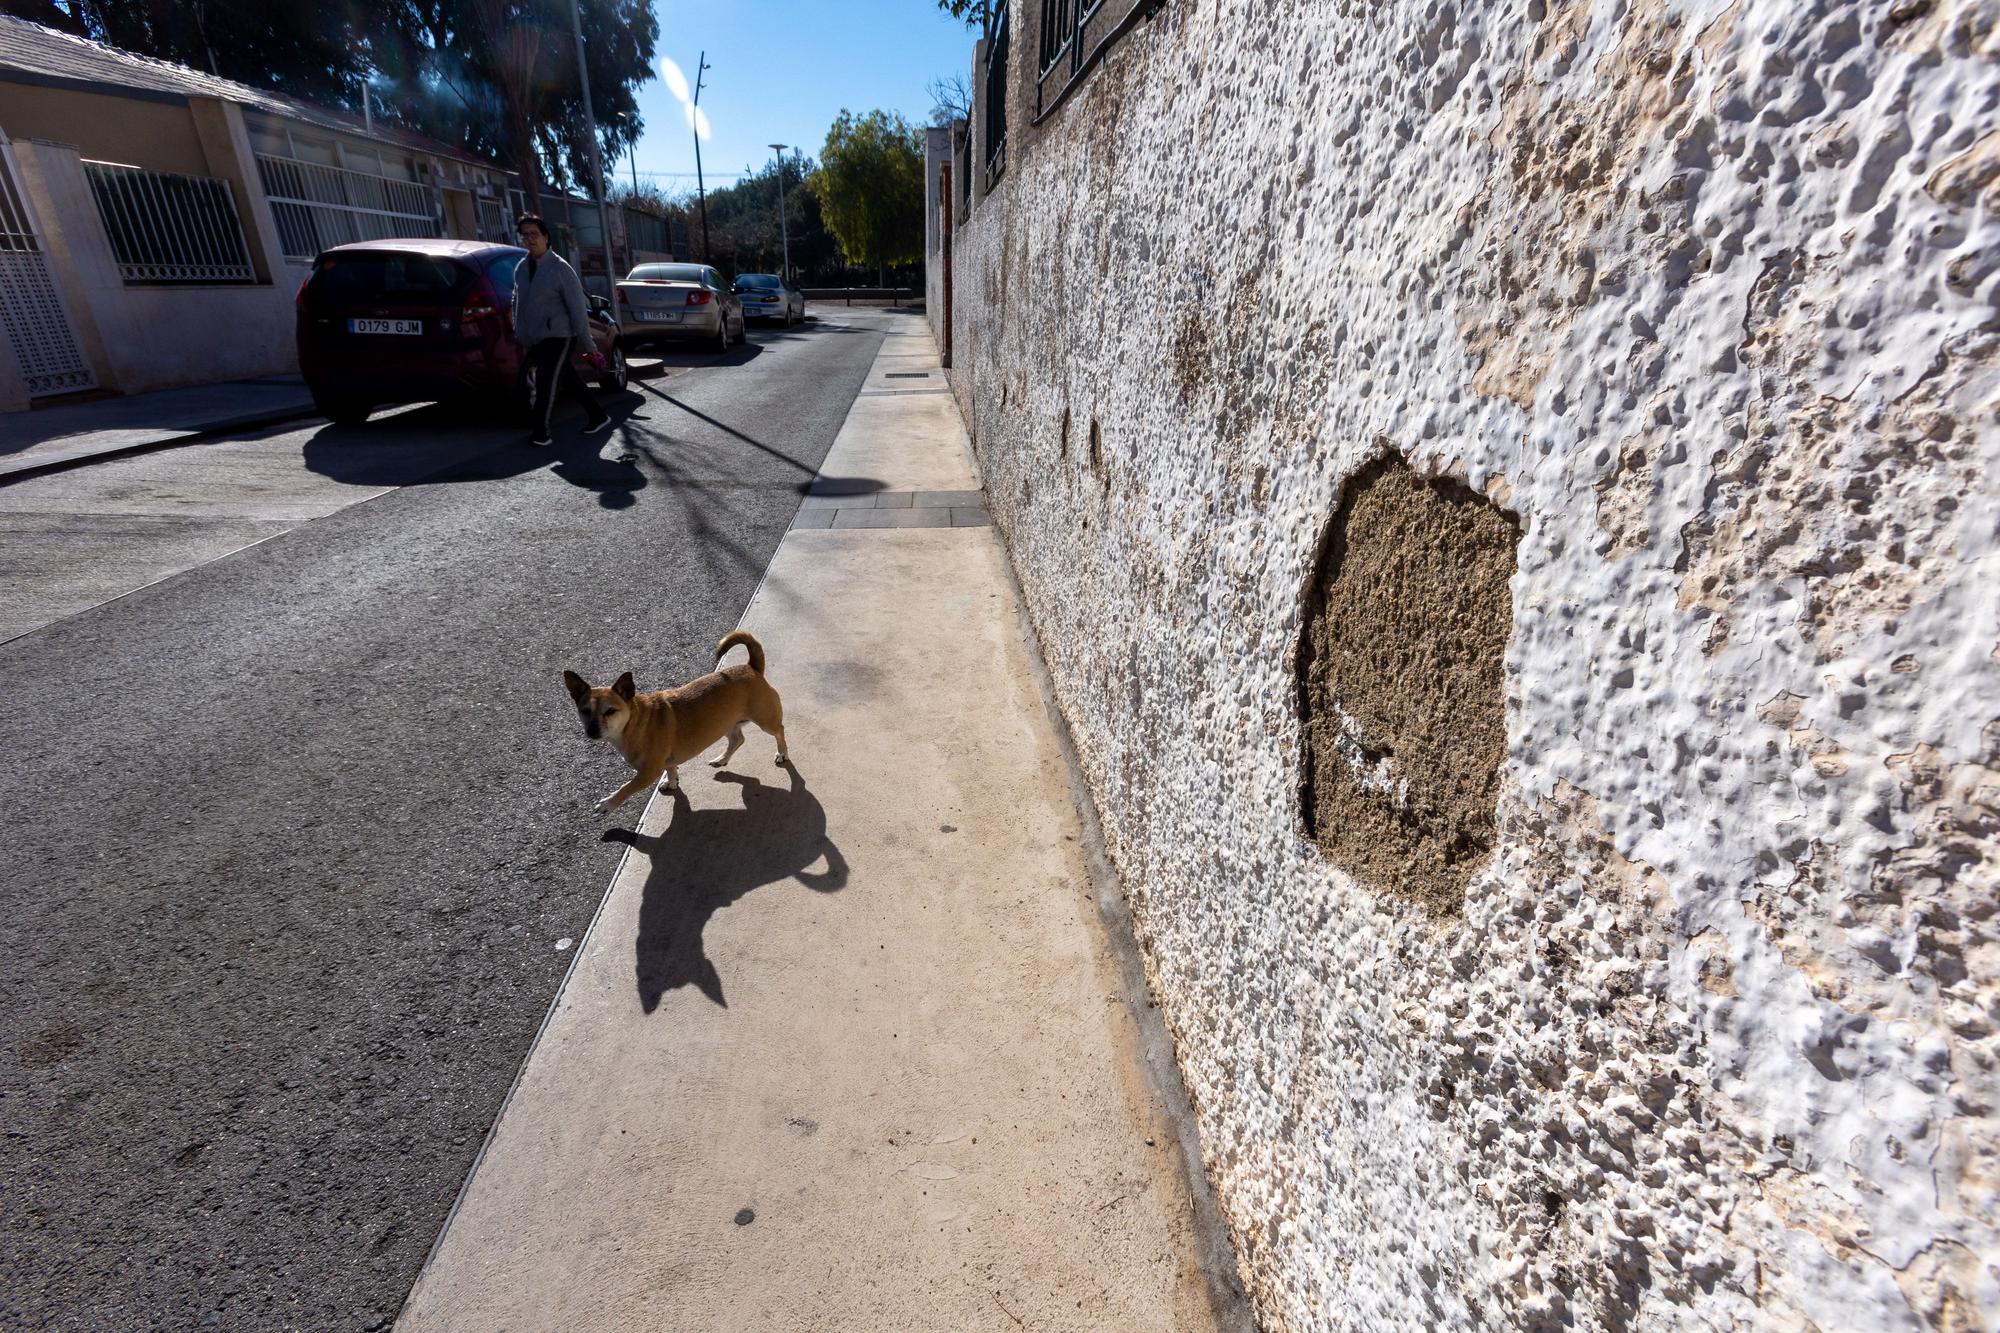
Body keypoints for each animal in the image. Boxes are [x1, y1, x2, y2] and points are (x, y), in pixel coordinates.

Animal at [564, 632, 788, 816]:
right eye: (584, 711)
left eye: (610, 711)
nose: (591, 731)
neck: (634, 722)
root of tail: (751, 667)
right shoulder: (666, 761)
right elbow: (671, 770)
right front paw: (671, 783)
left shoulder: (647, 773)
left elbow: (626, 787)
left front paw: (608, 803)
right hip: (725, 723)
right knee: (738, 739)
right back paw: (722, 759)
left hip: (765, 719)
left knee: (779, 730)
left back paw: (782, 753)